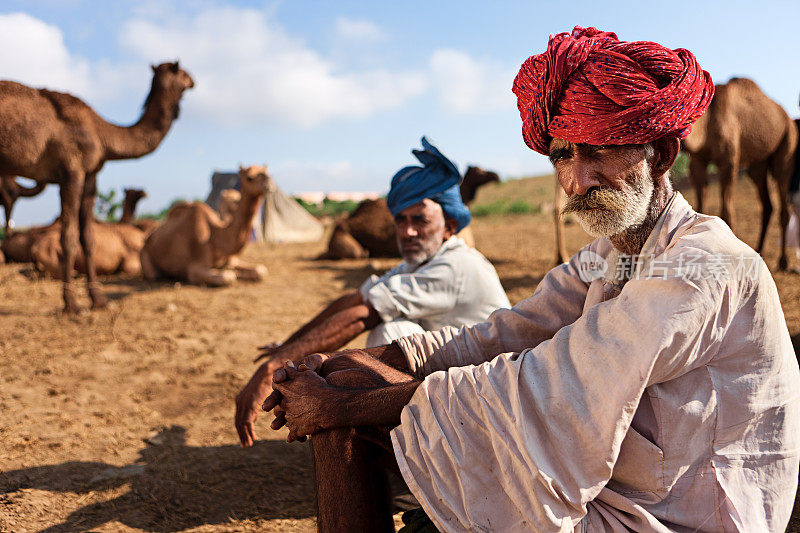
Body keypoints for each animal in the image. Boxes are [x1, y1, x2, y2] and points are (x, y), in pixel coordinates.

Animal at [0, 62, 195, 312]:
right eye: (182, 72)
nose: (193, 81)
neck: (102, 134)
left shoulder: (91, 175)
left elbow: (88, 238)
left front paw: (99, 300)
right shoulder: (71, 171)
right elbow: (69, 237)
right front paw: (72, 305)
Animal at [140, 164, 272, 286]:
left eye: (266, 172)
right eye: (249, 178)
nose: (269, 182)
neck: (216, 235)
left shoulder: (232, 261)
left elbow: (261, 270)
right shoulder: (194, 268)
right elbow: (227, 276)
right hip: (146, 258)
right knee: (154, 274)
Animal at [680, 78, 792, 270]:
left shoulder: (728, 161)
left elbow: (726, 212)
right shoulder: (697, 161)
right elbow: (699, 208)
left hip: (787, 140)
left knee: (782, 187)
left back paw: (783, 262)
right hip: (758, 165)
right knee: (767, 203)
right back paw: (758, 253)